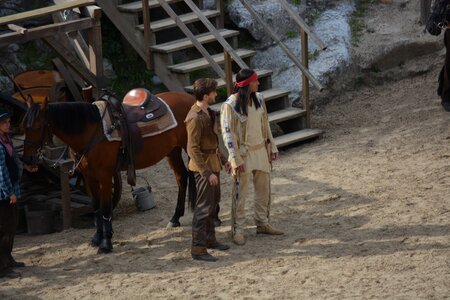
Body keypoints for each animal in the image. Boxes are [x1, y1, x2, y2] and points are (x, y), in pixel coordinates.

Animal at [22, 91, 195, 253]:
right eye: (24, 127)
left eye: (38, 126)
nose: (28, 159)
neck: (92, 131)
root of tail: (190, 98)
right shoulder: (89, 177)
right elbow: (96, 207)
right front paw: (97, 238)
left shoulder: (105, 176)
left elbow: (105, 208)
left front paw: (106, 243)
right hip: (172, 151)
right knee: (182, 177)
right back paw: (175, 218)